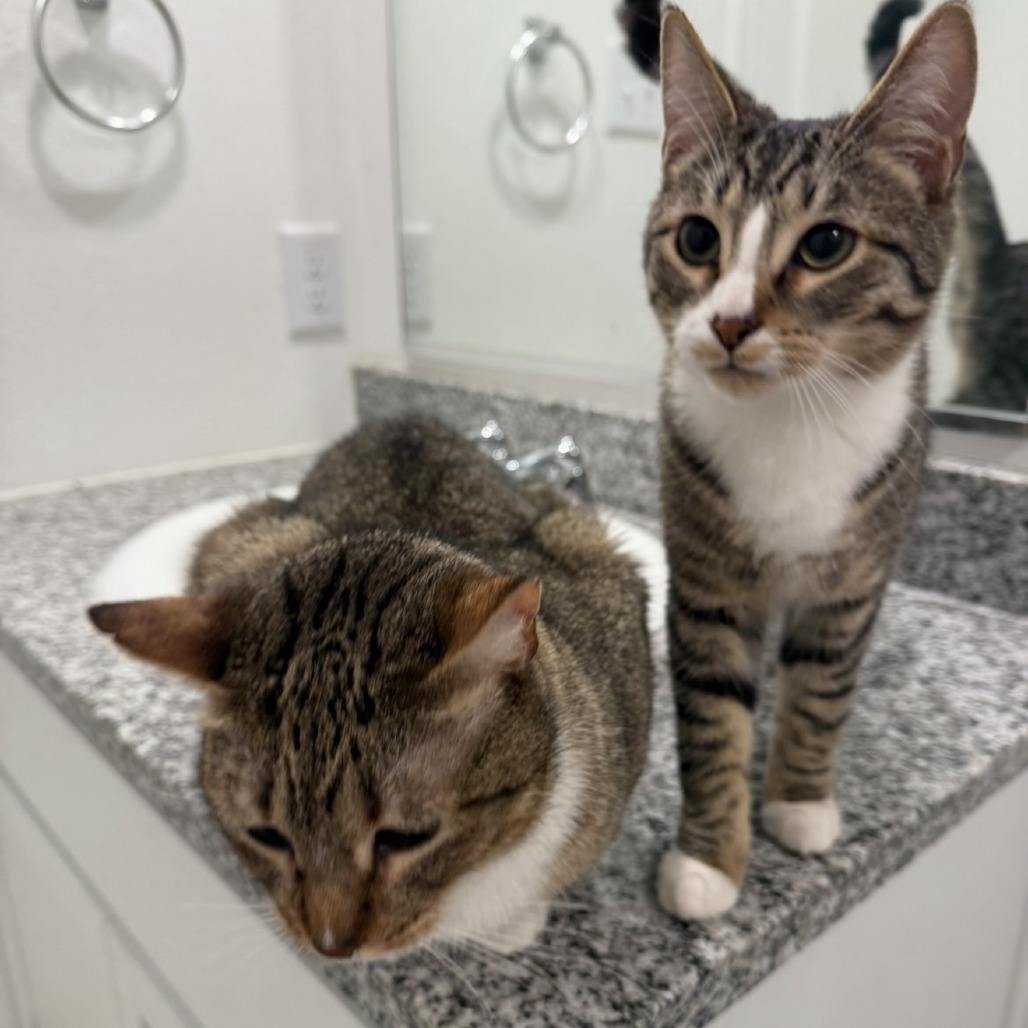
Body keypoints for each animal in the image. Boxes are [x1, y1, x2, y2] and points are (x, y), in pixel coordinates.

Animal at [644, 4, 976, 918]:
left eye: (827, 244)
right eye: (697, 237)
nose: (727, 322)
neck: (791, 423)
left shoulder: (855, 578)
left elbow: (823, 687)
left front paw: (797, 800)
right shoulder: (705, 582)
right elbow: (711, 713)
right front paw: (710, 859)